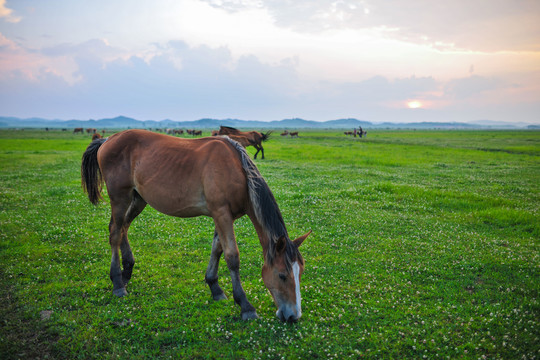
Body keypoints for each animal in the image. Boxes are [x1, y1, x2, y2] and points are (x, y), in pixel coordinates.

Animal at [79, 129, 308, 320]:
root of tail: (108, 139)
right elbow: (232, 256)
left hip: (138, 199)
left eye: (300, 272)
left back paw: (127, 271)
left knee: (124, 228)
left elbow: (217, 249)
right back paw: (118, 282)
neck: (237, 170)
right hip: (120, 197)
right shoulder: (222, 214)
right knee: (115, 232)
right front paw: (245, 305)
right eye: (282, 275)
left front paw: (215, 287)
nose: (293, 316)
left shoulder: (223, 216)